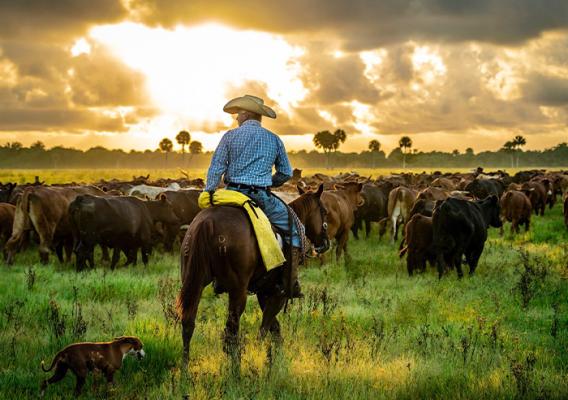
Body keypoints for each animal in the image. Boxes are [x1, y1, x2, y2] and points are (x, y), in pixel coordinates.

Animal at [176, 184, 328, 366]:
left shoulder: (264, 291)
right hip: (237, 291)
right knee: (231, 332)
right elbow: (265, 328)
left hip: (194, 282)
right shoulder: (278, 293)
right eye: (324, 211)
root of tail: (207, 223)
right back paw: (236, 369)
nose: (325, 243)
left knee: (188, 323)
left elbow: (274, 329)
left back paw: (185, 368)